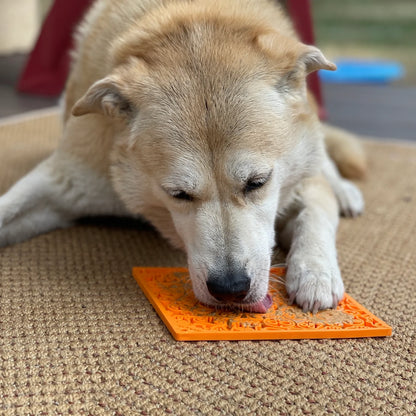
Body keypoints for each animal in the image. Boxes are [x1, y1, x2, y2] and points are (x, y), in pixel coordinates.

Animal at [0, 0, 364, 312]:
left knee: (324, 162)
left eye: (257, 182)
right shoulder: (68, 179)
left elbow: (314, 212)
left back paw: (345, 191)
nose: (230, 288)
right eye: (178, 194)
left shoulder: (297, 182)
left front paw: (314, 272)